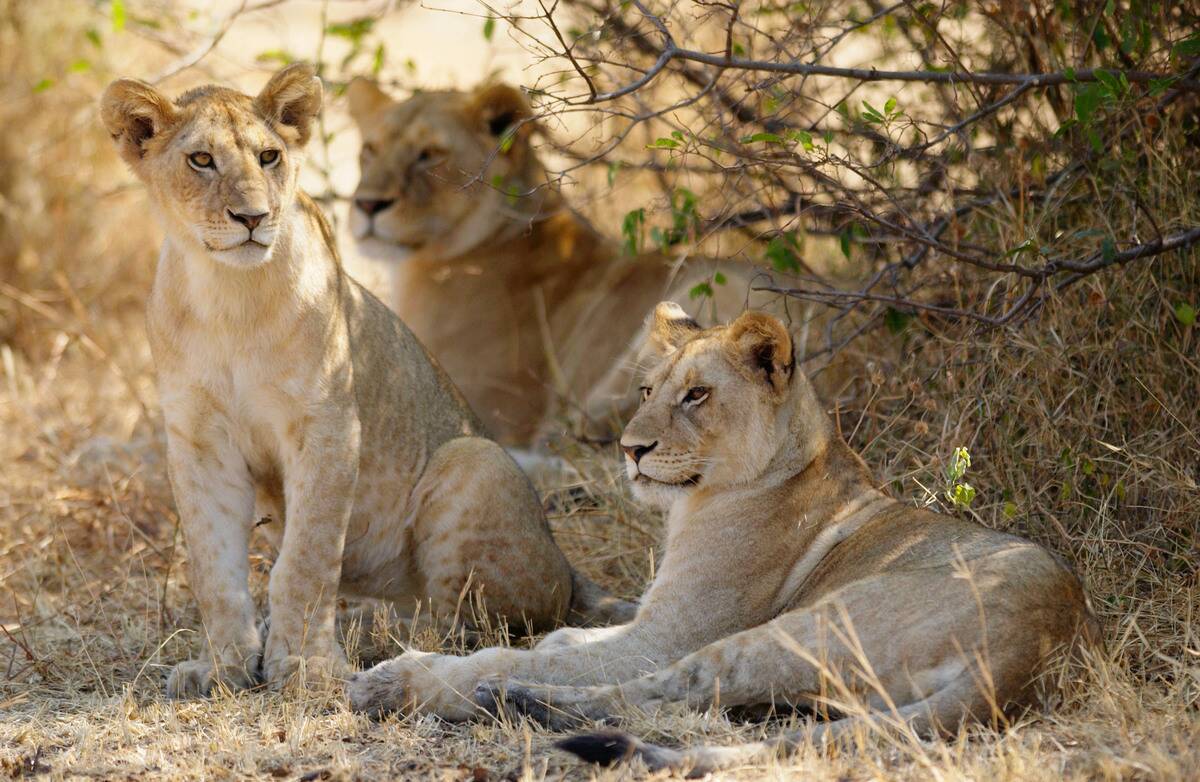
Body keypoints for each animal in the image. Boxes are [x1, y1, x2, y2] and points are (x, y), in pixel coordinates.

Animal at [99, 63, 632, 698]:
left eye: (269, 156)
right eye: (201, 160)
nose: (252, 218)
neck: (229, 296)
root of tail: (569, 566)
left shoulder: (327, 425)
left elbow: (305, 560)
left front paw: (303, 667)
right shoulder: (198, 441)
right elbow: (213, 569)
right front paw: (223, 668)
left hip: (474, 460)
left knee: (484, 620)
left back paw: (396, 645)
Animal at [346, 303, 1098, 777]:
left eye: (697, 395)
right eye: (647, 390)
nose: (630, 449)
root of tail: (1033, 651)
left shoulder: (666, 634)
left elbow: (555, 656)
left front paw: (405, 677)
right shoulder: (649, 618)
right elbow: (569, 639)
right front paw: (552, 642)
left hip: (811, 623)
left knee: (667, 689)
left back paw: (498, 697)